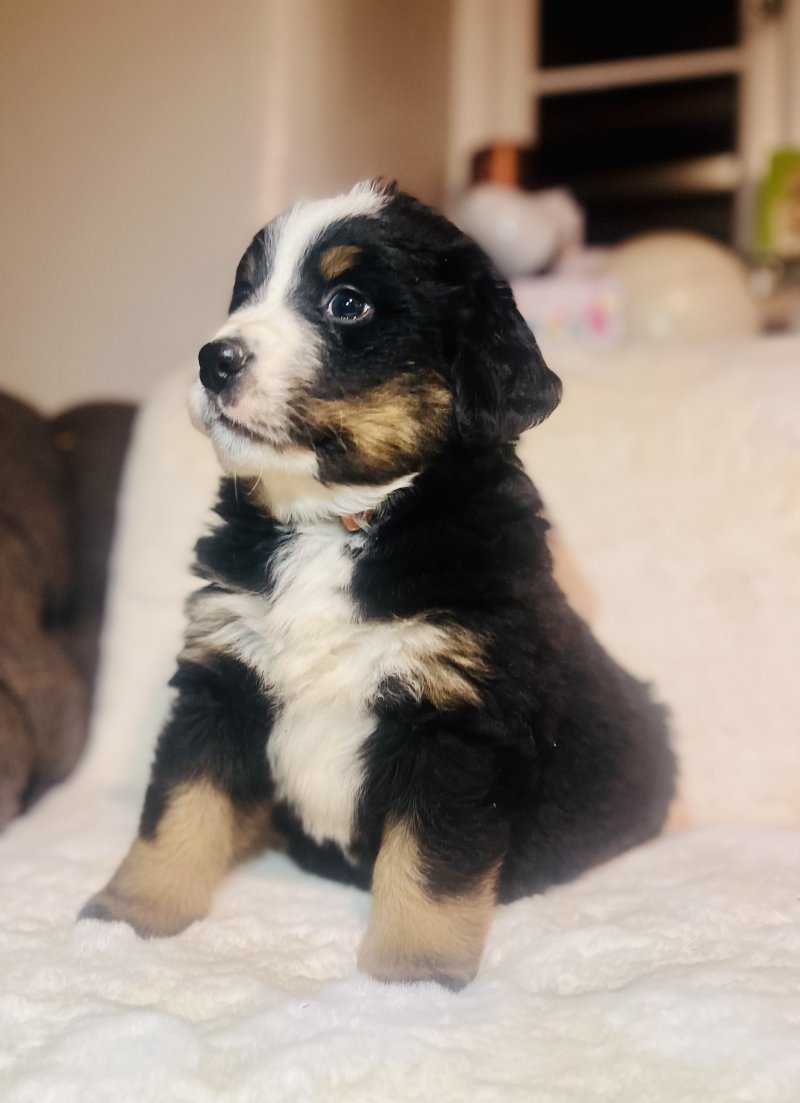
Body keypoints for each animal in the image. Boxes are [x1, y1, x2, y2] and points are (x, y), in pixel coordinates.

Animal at [81, 180, 670, 992]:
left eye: (348, 304)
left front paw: (409, 975)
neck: (336, 522)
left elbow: (429, 867)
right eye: (246, 289)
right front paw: (131, 913)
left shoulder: (457, 721)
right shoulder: (222, 679)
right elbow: (178, 809)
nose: (213, 359)